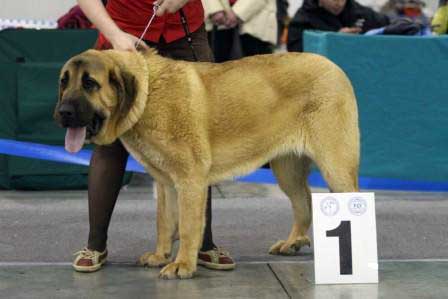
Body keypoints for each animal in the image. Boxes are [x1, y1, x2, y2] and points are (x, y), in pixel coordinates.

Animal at [53, 48, 360, 280]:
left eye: (90, 83)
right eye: (63, 82)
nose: (62, 112)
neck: (148, 94)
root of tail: (334, 67)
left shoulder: (190, 180)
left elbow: (189, 226)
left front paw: (182, 265)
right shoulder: (166, 183)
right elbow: (164, 222)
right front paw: (160, 255)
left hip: (336, 167)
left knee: (351, 201)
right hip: (287, 170)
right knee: (304, 202)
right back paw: (292, 242)